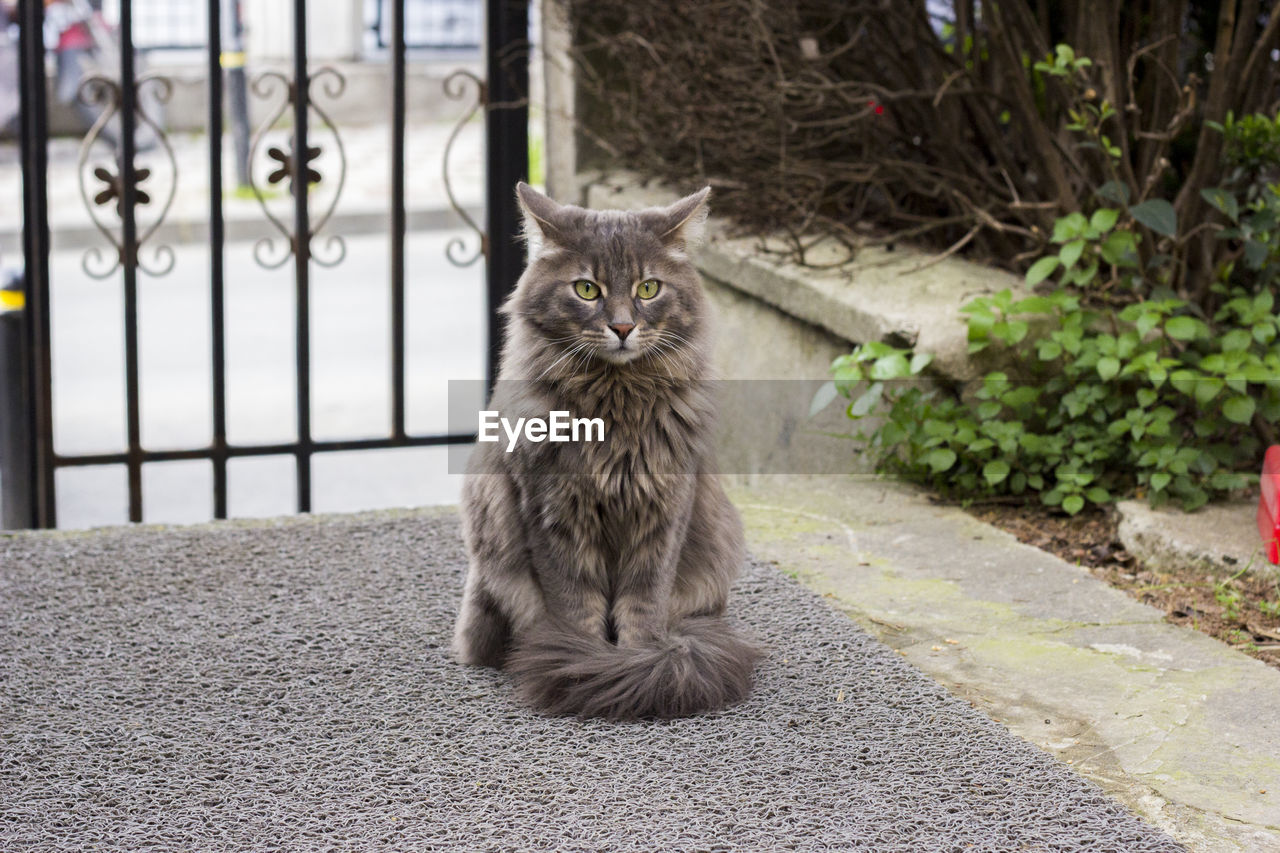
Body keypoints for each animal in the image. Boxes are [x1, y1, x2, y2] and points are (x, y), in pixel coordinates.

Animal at [455, 180, 757, 717]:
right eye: (587, 289)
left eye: (648, 289)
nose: (621, 328)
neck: (615, 408)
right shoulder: (552, 510)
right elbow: (576, 606)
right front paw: (585, 665)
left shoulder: (664, 510)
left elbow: (643, 604)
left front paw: (635, 666)